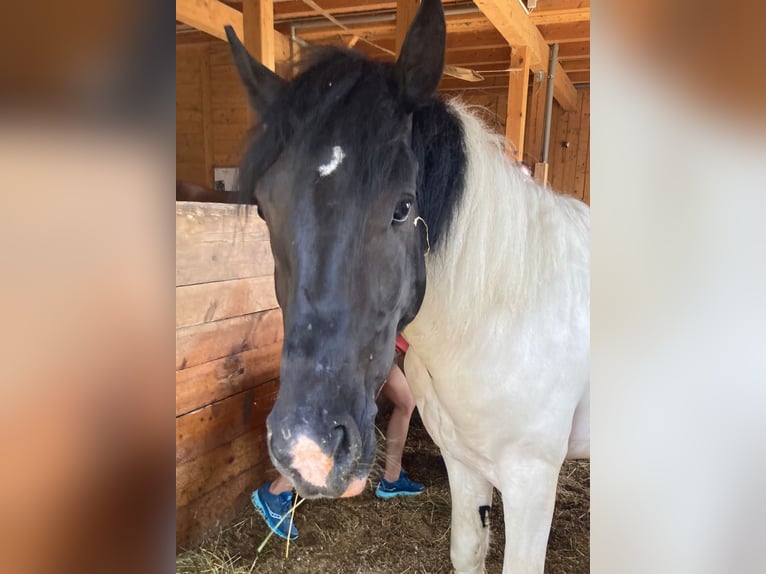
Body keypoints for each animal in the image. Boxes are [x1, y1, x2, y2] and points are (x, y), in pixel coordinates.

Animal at [225, 1, 592, 572]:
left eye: (402, 207)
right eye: (265, 207)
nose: (309, 451)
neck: (501, 319)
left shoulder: (532, 483)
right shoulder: (464, 463)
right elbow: (467, 551)